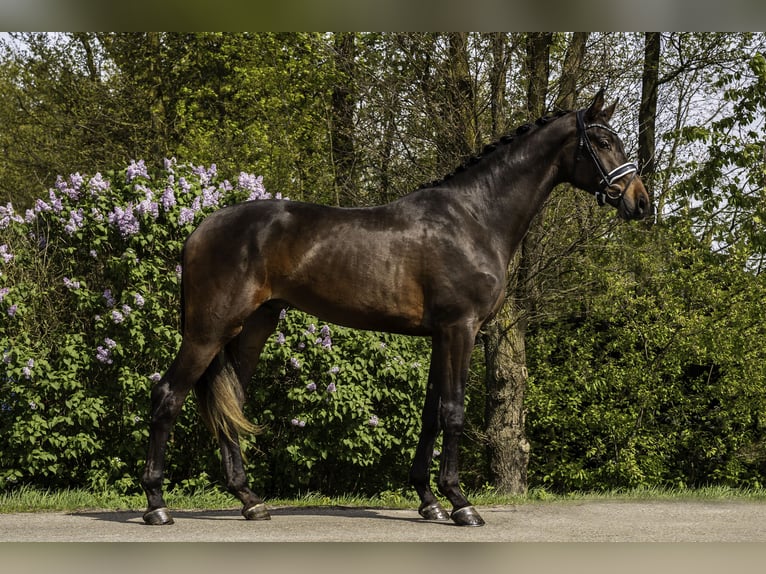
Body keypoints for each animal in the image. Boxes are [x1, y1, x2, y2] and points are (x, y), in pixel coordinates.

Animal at [141, 91, 652, 532]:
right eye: (602, 142)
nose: (640, 202)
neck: (475, 218)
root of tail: (201, 227)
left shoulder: (440, 336)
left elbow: (431, 414)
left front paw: (430, 502)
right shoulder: (461, 329)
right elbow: (453, 412)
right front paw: (461, 503)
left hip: (252, 329)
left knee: (228, 403)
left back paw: (250, 500)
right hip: (208, 330)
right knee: (168, 395)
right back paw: (156, 505)